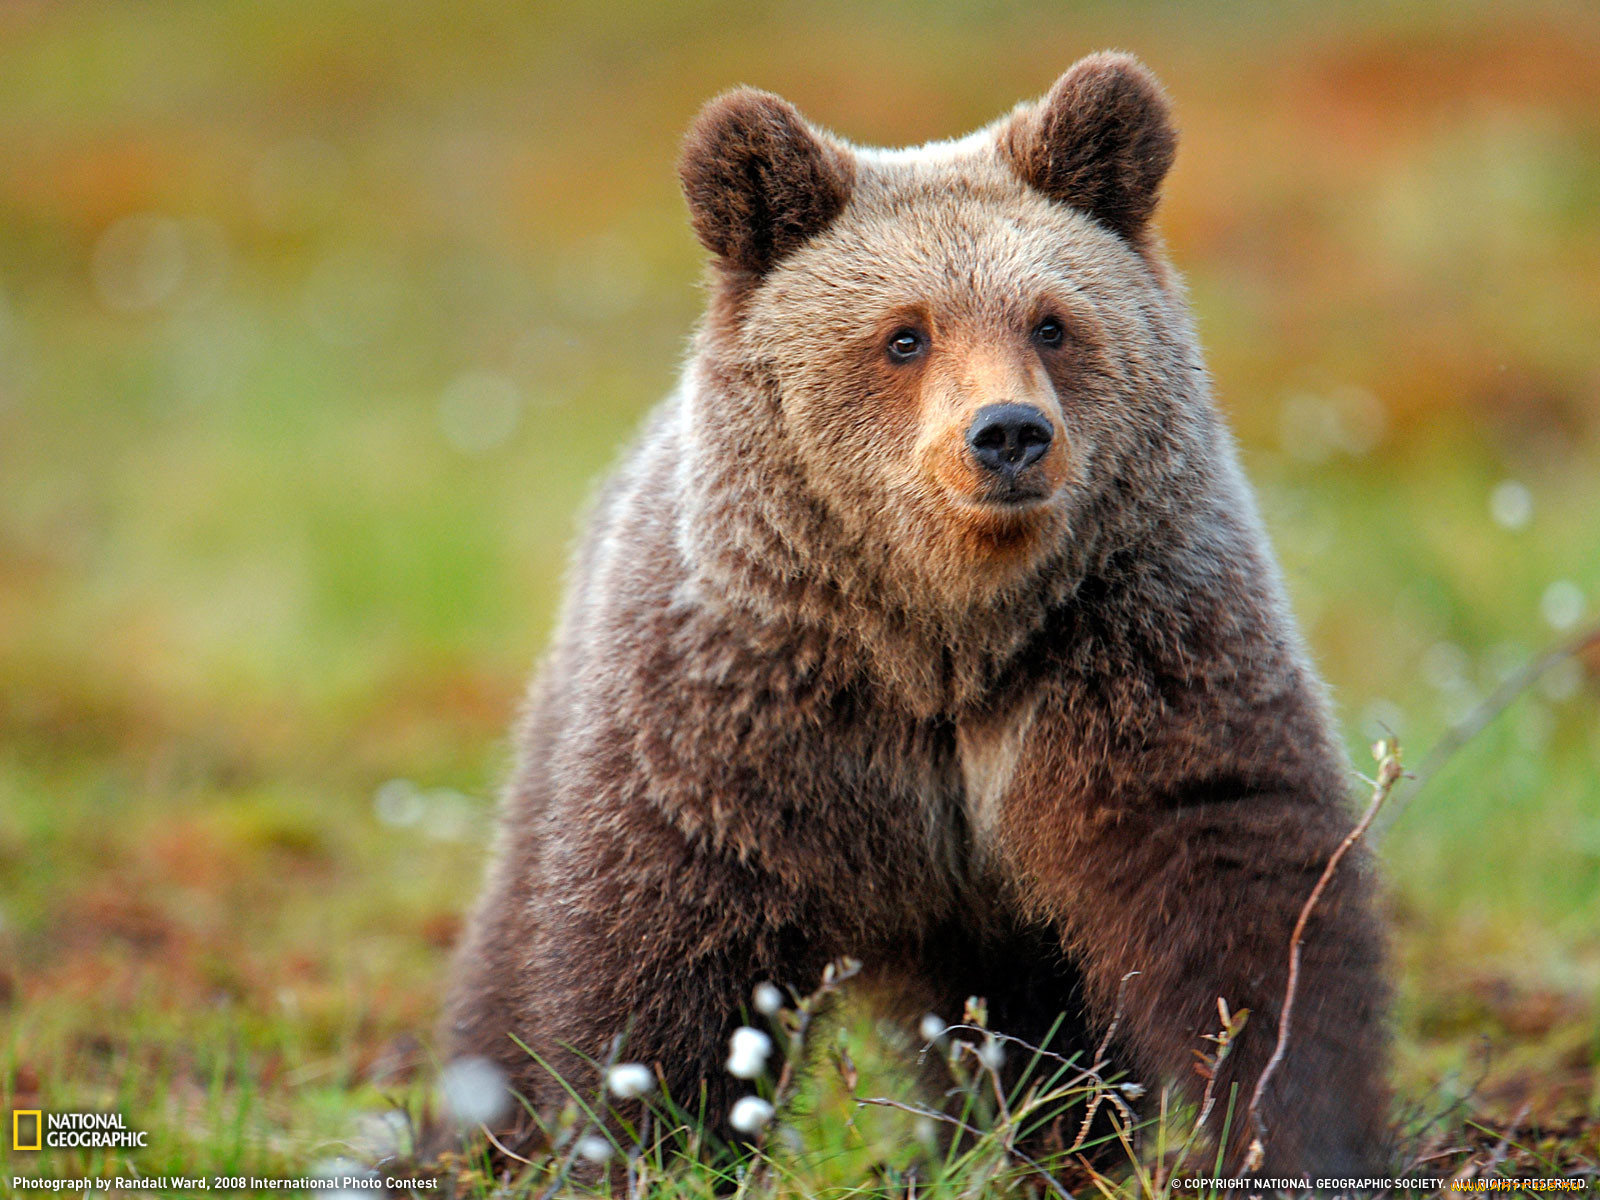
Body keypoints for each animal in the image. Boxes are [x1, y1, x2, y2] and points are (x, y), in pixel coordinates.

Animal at [448, 51, 1388, 1177]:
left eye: (1051, 322)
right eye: (904, 335)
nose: (1009, 433)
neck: (943, 638)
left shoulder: (1133, 655)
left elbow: (1240, 887)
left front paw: (1295, 1128)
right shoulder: (741, 713)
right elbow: (661, 949)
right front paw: (656, 1143)